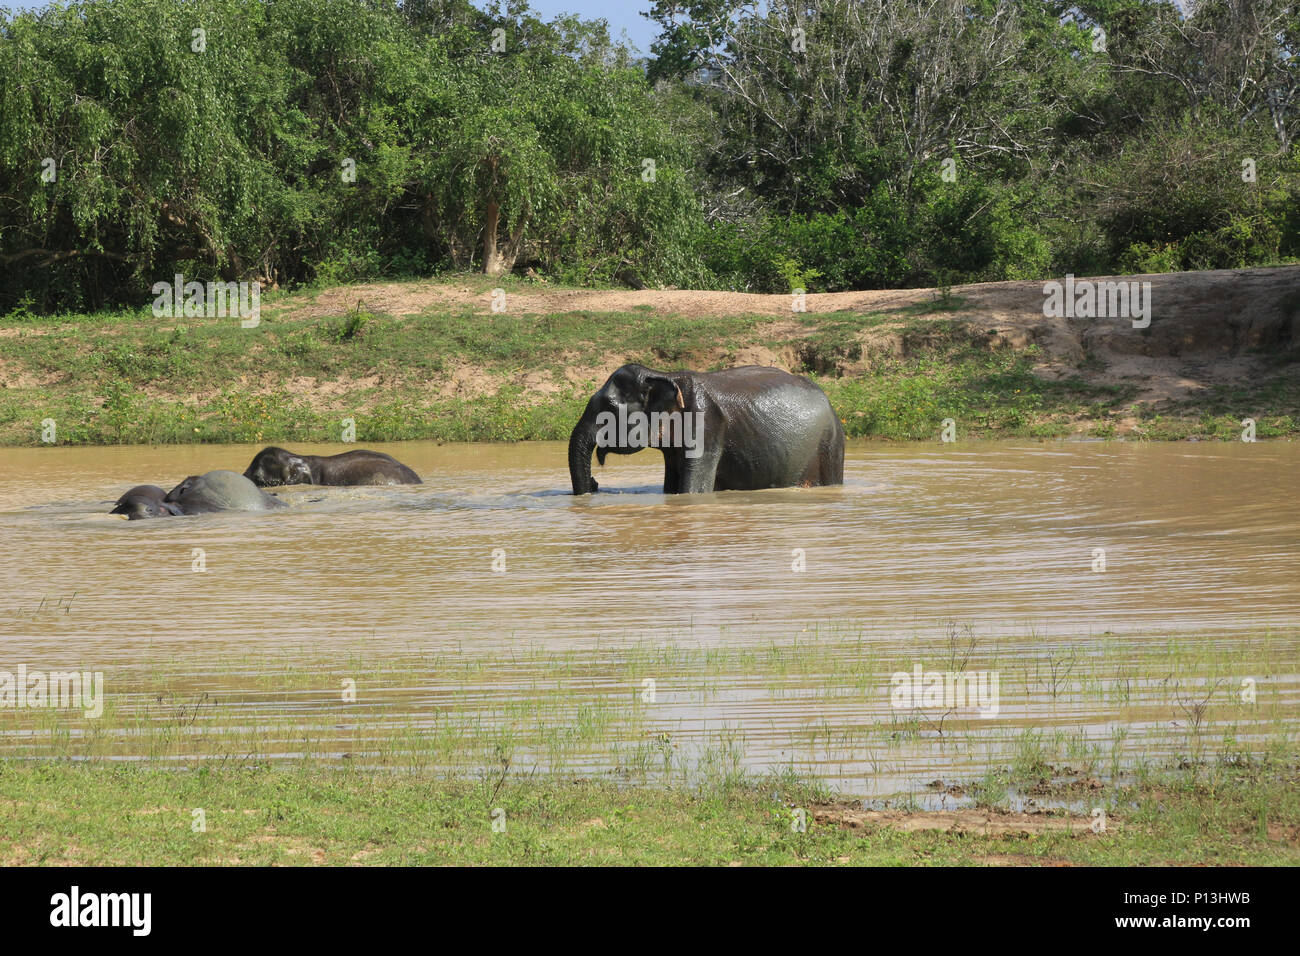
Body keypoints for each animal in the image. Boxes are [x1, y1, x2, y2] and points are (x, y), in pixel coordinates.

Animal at [569, 358, 842, 494]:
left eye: (608, 409)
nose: (595, 483)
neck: (663, 375)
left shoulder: (706, 424)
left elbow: (693, 491)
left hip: (830, 443)